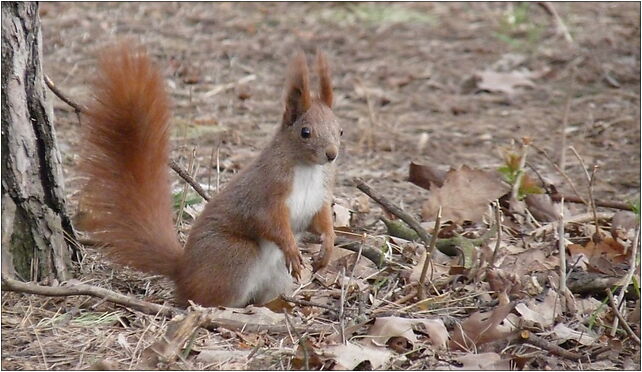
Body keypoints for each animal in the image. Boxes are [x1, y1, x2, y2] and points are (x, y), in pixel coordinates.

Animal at [79, 43, 340, 306]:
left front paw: (327, 248)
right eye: (305, 132)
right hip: (236, 256)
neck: (307, 169)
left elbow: (322, 222)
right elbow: (270, 222)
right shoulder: (264, 192)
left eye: (340, 131)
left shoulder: (318, 198)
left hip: (275, 276)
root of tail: (183, 271)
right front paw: (292, 249)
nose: (332, 155)